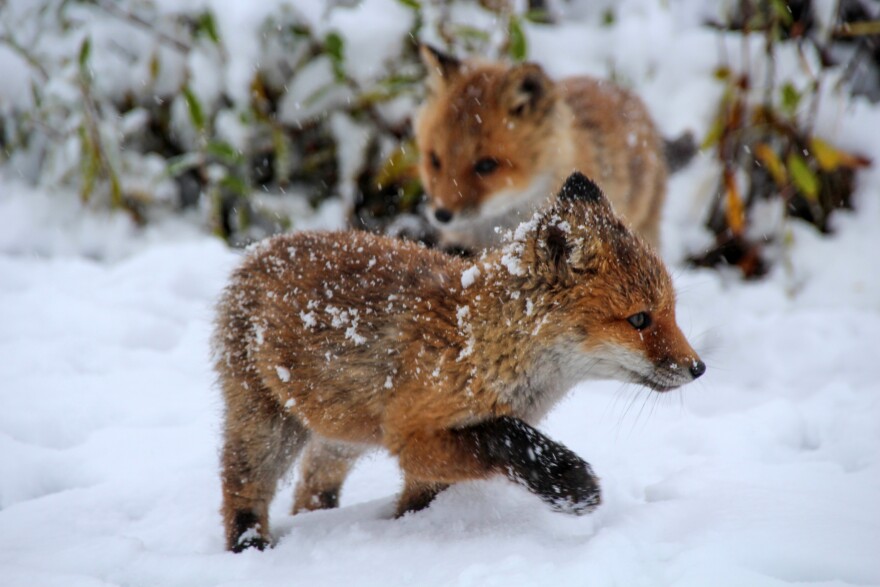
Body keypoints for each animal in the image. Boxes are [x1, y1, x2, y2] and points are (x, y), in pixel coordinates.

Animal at [217, 173, 704, 552]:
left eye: (672, 311)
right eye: (639, 319)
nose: (698, 368)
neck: (477, 343)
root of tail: (259, 250)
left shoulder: (419, 459)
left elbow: (419, 501)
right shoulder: (413, 435)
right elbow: (504, 438)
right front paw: (567, 481)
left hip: (341, 432)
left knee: (312, 484)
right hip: (266, 430)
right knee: (241, 493)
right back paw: (251, 547)